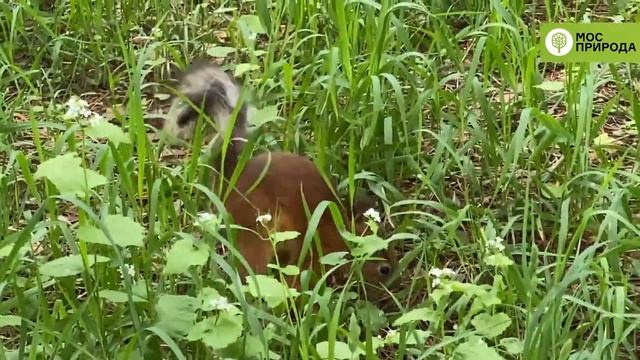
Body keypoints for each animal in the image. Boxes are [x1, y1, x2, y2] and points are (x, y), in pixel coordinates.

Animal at [160, 61, 398, 292]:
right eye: (383, 269)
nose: (391, 284)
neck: (339, 227)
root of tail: (231, 177)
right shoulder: (313, 249)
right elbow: (299, 277)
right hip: (256, 230)